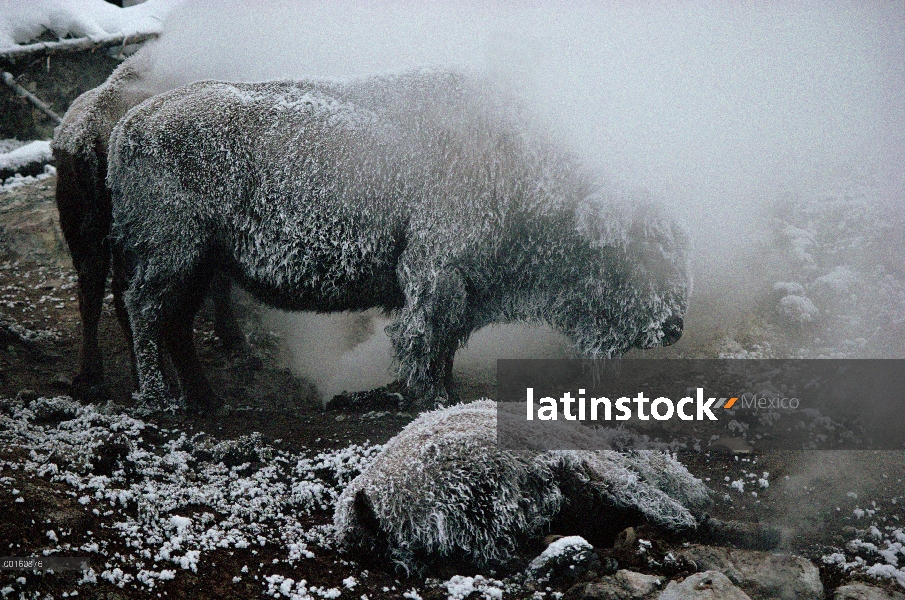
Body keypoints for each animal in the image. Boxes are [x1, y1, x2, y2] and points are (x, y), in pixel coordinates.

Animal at [51, 48, 249, 398]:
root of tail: (87, 132)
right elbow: (221, 282)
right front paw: (233, 338)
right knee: (125, 296)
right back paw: (156, 379)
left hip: (85, 232)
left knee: (91, 293)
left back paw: (91, 376)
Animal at [106, 68, 684, 410]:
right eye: (637, 253)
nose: (673, 326)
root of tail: (131, 124)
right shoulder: (434, 274)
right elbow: (422, 339)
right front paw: (431, 399)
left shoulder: (459, 290)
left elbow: (444, 343)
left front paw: (446, 393)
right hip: (174, 254)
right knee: (145, 310)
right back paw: (160, 400)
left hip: (200, 262)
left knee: (174, 321)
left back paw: (205, 399)